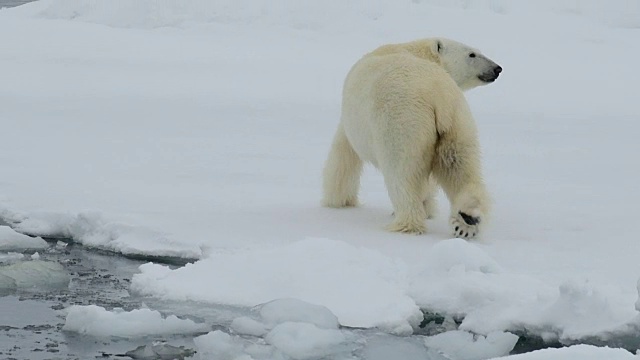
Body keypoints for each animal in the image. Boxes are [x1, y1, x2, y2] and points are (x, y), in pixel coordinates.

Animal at [322, 37, 502, 239]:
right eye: (472, 54)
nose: (497, 68)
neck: (417, 51)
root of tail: (437, 95)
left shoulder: (355, 122)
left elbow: (343, 155)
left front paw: (337, 201)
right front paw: (429, 209)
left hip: (401, 122)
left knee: (402, 174)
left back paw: (405, 223)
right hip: (458, 121)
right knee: (461, 165)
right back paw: (466, 220)